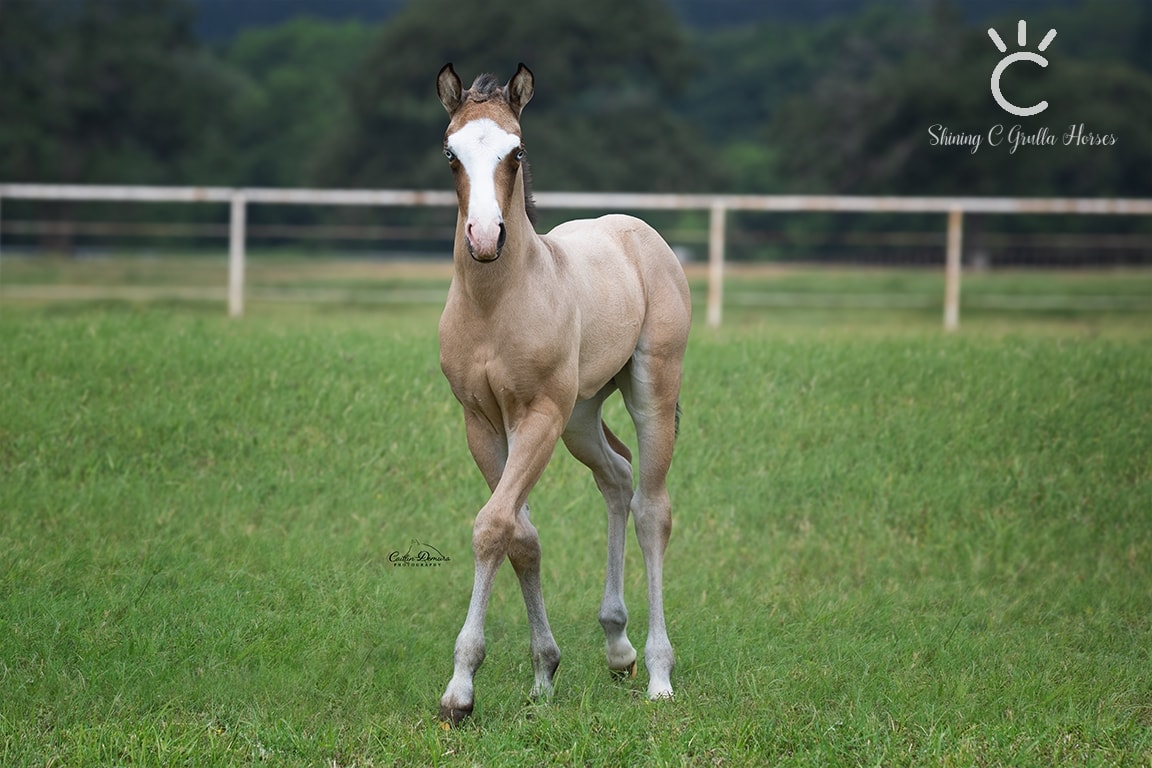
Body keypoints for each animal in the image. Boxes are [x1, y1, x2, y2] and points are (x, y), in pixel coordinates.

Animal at [433, 61, 686, 727]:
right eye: (451, 153)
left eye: (516, 151)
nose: (484, 237)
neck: (497, 304)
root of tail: (635, 229)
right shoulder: (481, 423)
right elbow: (522, 536)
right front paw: (544, 670)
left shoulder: (538, 416)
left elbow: (493, 526)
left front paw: (460, 688)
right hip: (581, 415)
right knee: (617, 478)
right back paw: (617, 644)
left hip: (648, 390)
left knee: (652, 508)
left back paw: (658, 672)